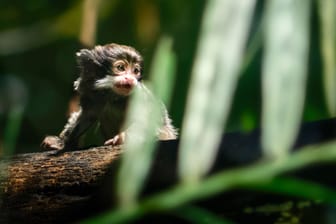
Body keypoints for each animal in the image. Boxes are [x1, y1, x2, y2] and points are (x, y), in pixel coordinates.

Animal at [41, 42, 177, 150]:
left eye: (135, 71)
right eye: (121, 67)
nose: (130, 78)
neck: (113, 96)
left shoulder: (141, 98)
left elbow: (150, 122)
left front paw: (122, 138)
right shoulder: (91, 96)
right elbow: (86, 116)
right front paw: (61, 143)